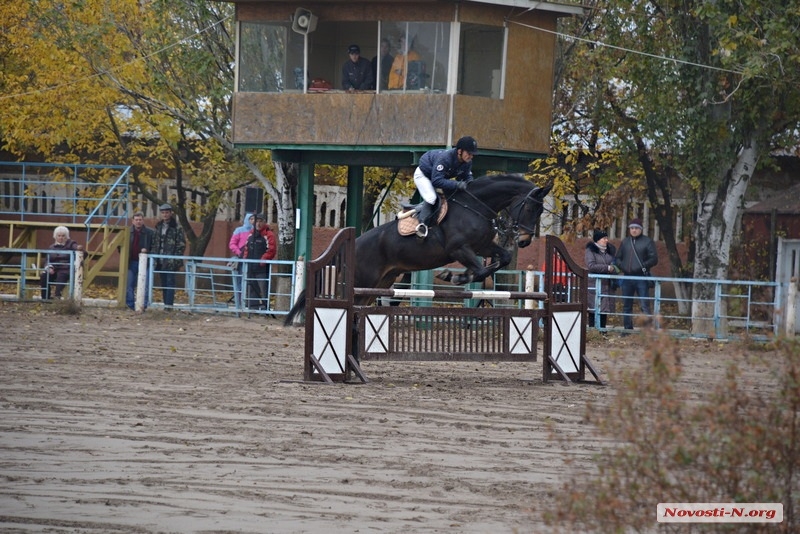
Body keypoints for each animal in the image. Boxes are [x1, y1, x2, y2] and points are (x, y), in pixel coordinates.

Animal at [284, 176, 552, 326]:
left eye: (541, 211)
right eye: (530, 208)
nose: (525, 240)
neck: (475, 206)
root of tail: (355, 243)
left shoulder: (482, 245)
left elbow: (501, 259)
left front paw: (458, 276)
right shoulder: (458, 249)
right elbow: (478, 269)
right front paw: (454, 276)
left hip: (383, 281)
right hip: (364, 281)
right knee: (355, 309)